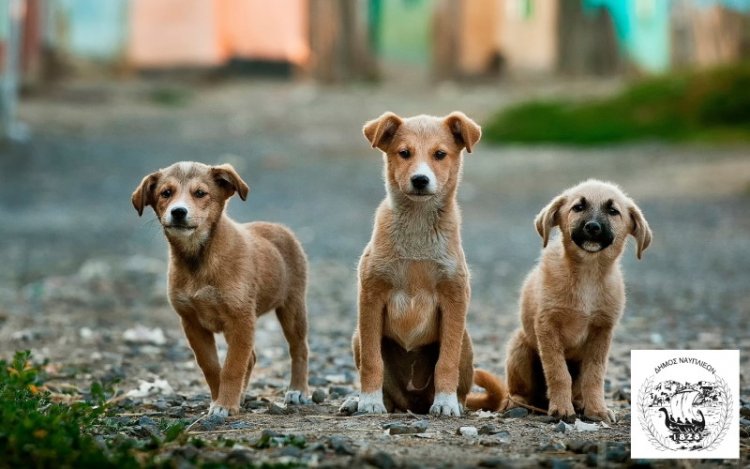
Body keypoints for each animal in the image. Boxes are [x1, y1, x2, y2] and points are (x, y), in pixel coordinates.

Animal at [133, 162, 312, 416]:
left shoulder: (241, 319)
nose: (178, 212)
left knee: (299, 348)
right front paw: (220, 399)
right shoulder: (192, 323)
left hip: (292, 307)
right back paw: (243, 395)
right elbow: (211, 366)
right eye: (166, 193)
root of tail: (280, 228)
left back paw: (298, 390)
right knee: (252, 358)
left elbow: (232, 367)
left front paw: (225, 405)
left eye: (200, 193)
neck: (199, 259)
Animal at [348, 111, 506, 414]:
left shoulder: (454, 297)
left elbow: (446, 362)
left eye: (440, 154)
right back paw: (359, 401)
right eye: (404, 153)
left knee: (460, 383)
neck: (417, 228)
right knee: (388, 391)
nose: (420, 180)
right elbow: (373, 362)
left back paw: (453, 403)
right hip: (357, 337)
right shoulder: (371, 296)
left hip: (466, 341)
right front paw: (369, 401)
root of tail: (413, 403)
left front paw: (445, 403)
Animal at [506, 178, 652, 420]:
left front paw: (597, 409)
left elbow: (594, 375)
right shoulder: (547, 326)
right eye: (578, 207)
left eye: (613, 211)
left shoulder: (602, 331)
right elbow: (558, 372)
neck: (588, 274)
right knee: (518, 390)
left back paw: (580, 402)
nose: (592, 227)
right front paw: (561, 408)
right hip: (520, 348)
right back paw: (518, 403)